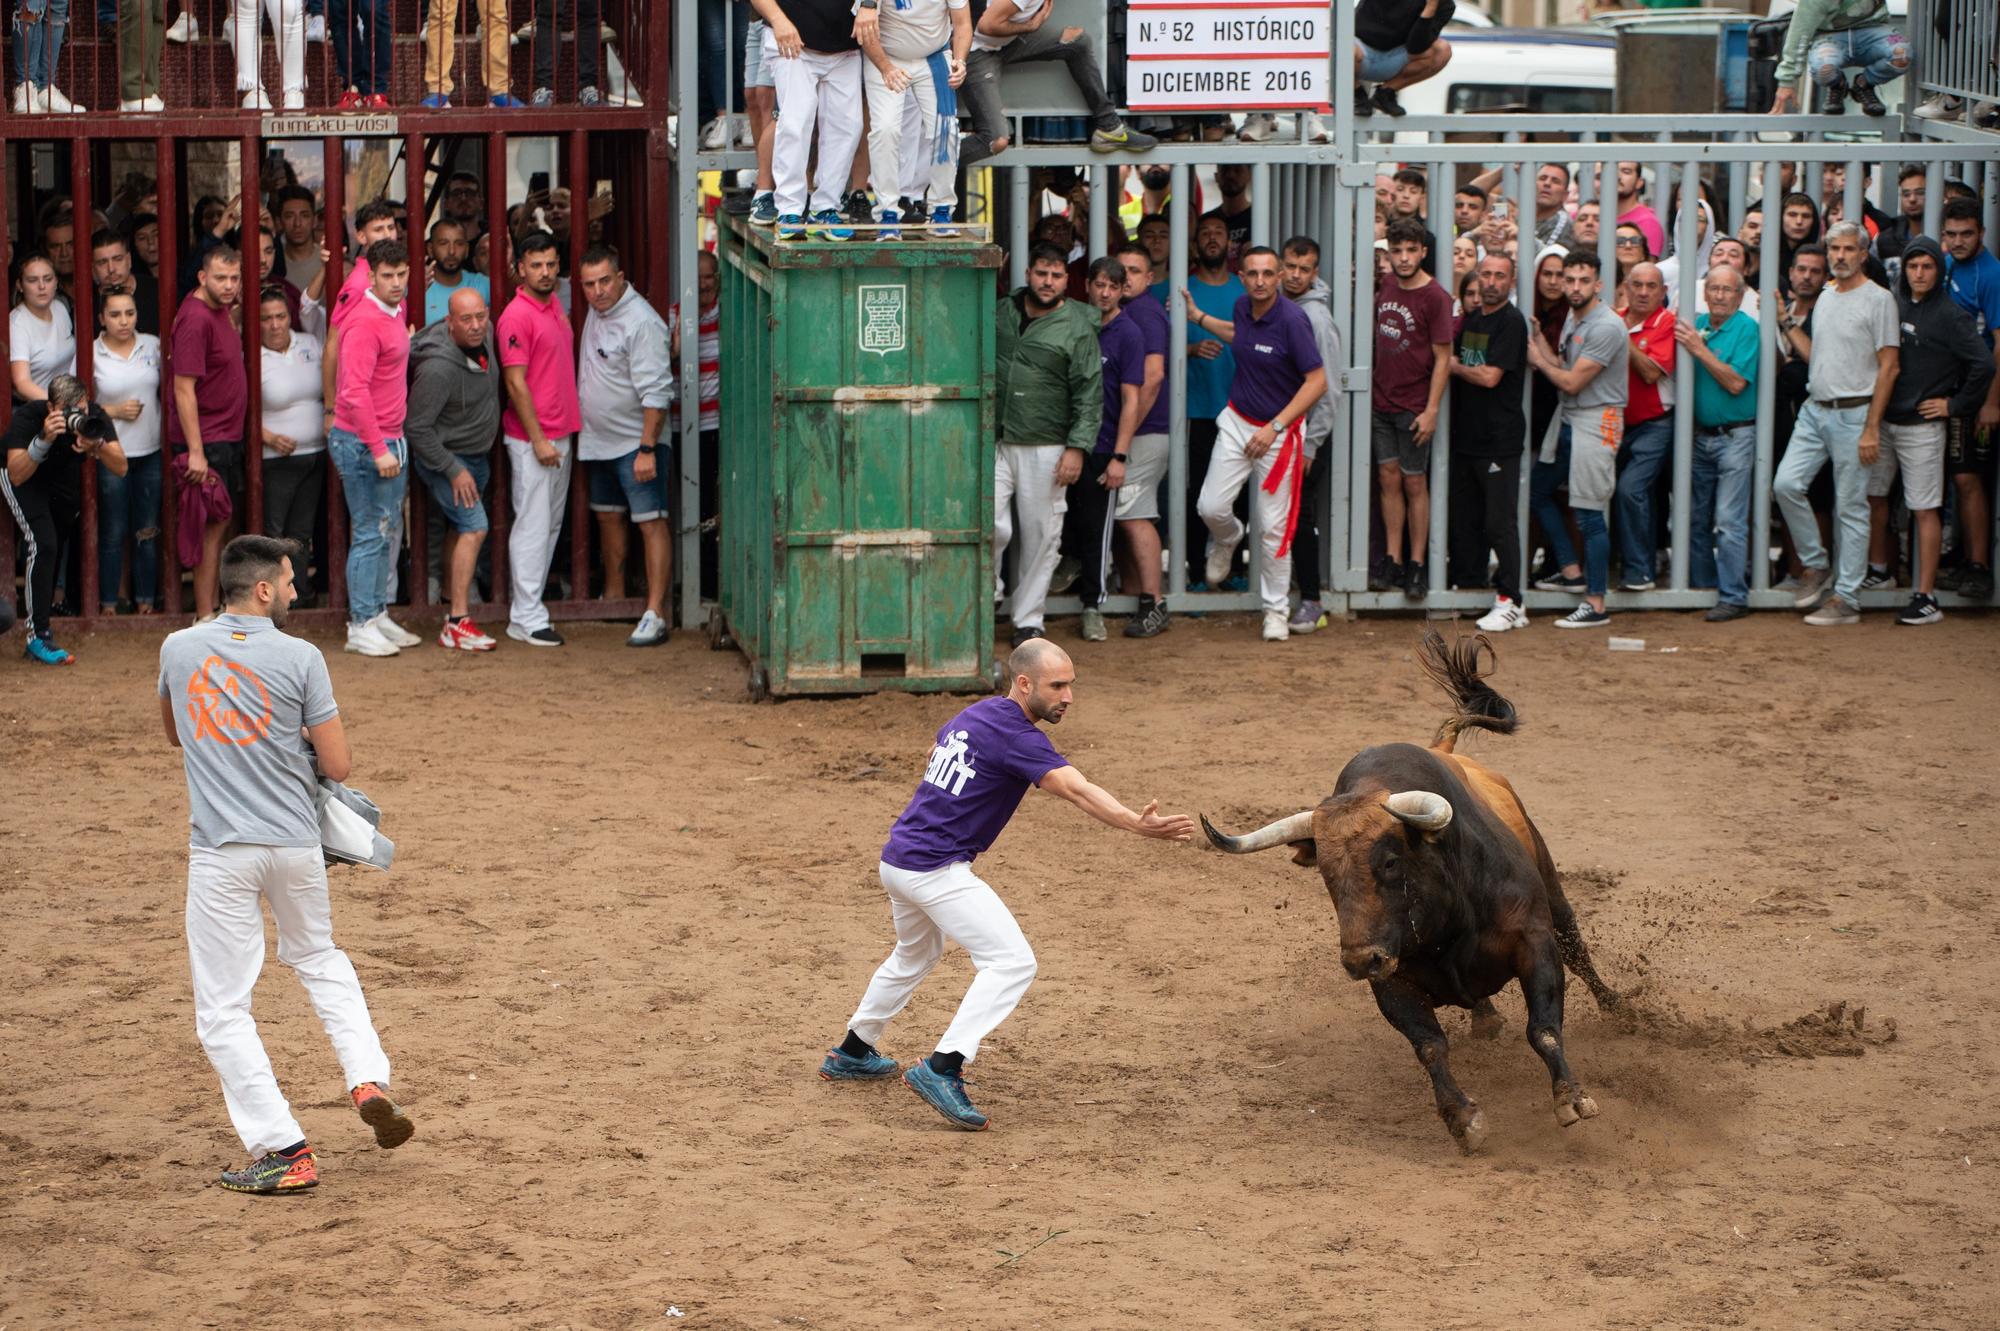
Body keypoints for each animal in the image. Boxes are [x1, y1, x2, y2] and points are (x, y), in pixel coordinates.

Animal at [1192, 627, 1616, 1143]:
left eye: (1391, 861)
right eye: (1327, 873)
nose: (1360, 960)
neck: (1449, 923)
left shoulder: (1533, 941)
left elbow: (1545, 1027)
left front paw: (1571, 1098)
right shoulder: (1391, 980)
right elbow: (1430, 1045)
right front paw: (1462, 1119)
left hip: (1554, 895)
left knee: (1577, 949)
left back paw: (1623, 1011)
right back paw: (1486, 1018)